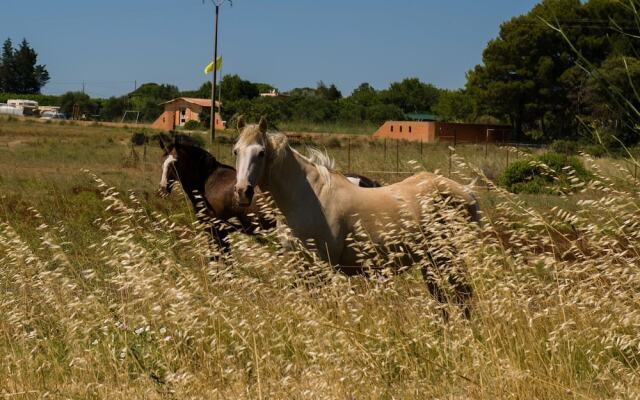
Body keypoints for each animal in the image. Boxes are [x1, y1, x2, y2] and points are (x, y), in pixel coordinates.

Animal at [235, 117, 480, 310]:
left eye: (261, 153)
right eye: (236, 151)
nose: (242, 191)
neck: (309, 196)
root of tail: (466, 191)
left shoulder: (321, 266)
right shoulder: (300, 265)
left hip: (446, 259)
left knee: (463, 297)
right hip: (430, 261)